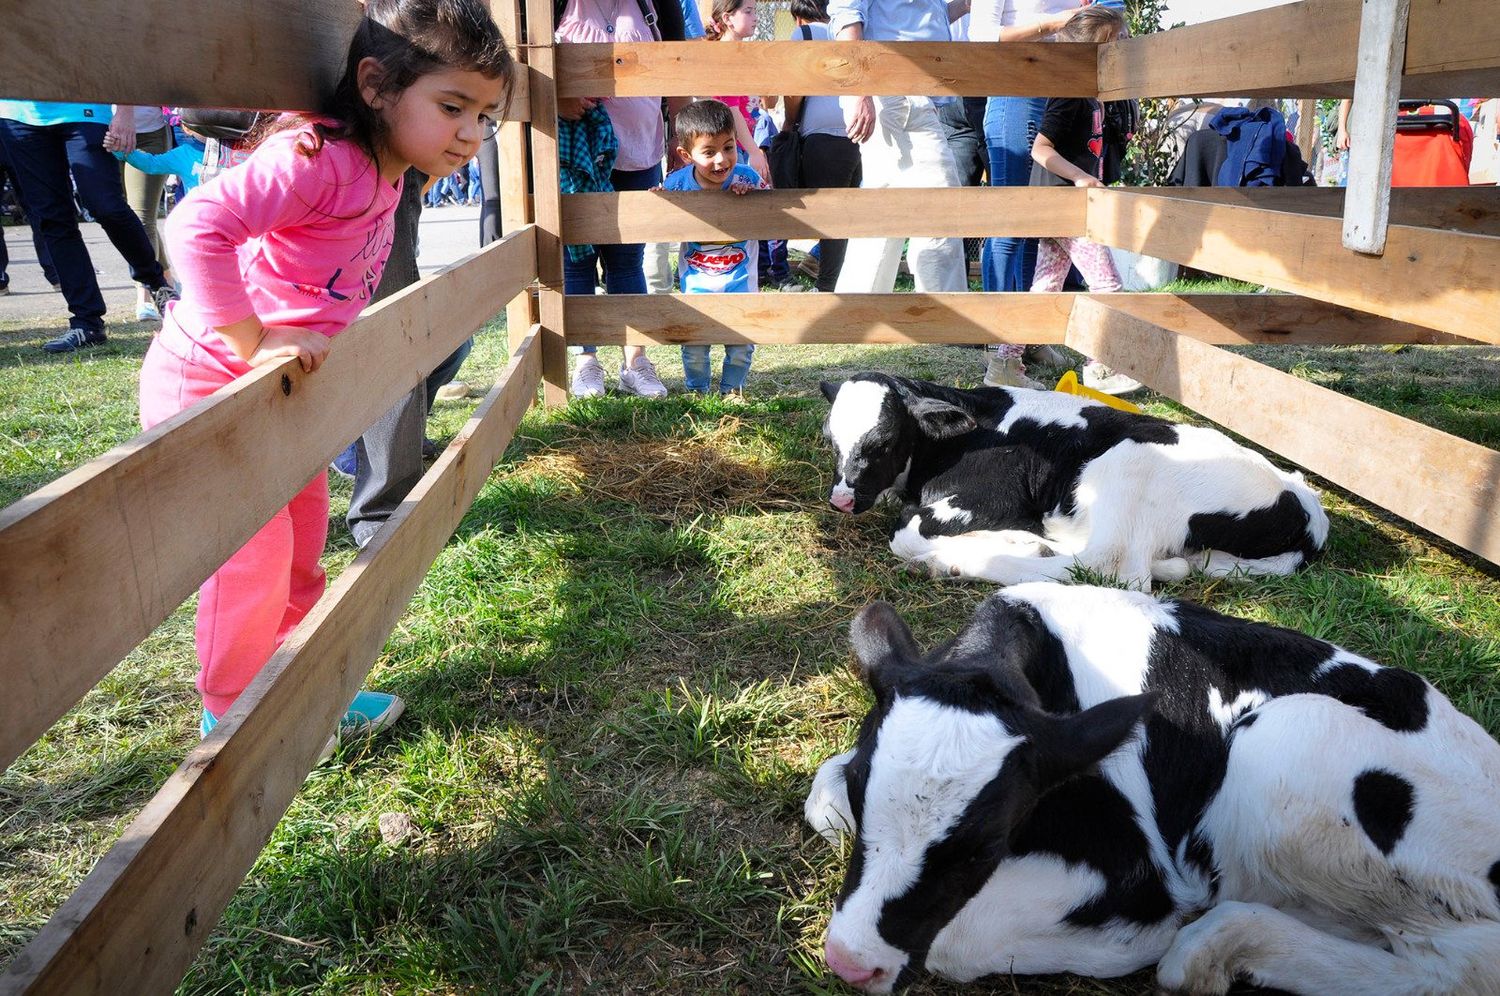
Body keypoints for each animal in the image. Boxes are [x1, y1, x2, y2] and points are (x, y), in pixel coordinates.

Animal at [810, 588, 1500, 990]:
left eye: (984, 846)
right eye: (865, 797)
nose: (850, 961)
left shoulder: (1139, 868)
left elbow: (956, 939)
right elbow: (823, 795)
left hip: (1286, 740)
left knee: (1458, 966)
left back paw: (1202, 950)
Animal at [828, 373, 1332, 591]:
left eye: (883, 441)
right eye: (832, 439)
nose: (842, 500)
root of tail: (1307, 509)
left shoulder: (985, 498)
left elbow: (906, 531)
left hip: (1127, 467)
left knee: (1109, 569)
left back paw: (962, 559)